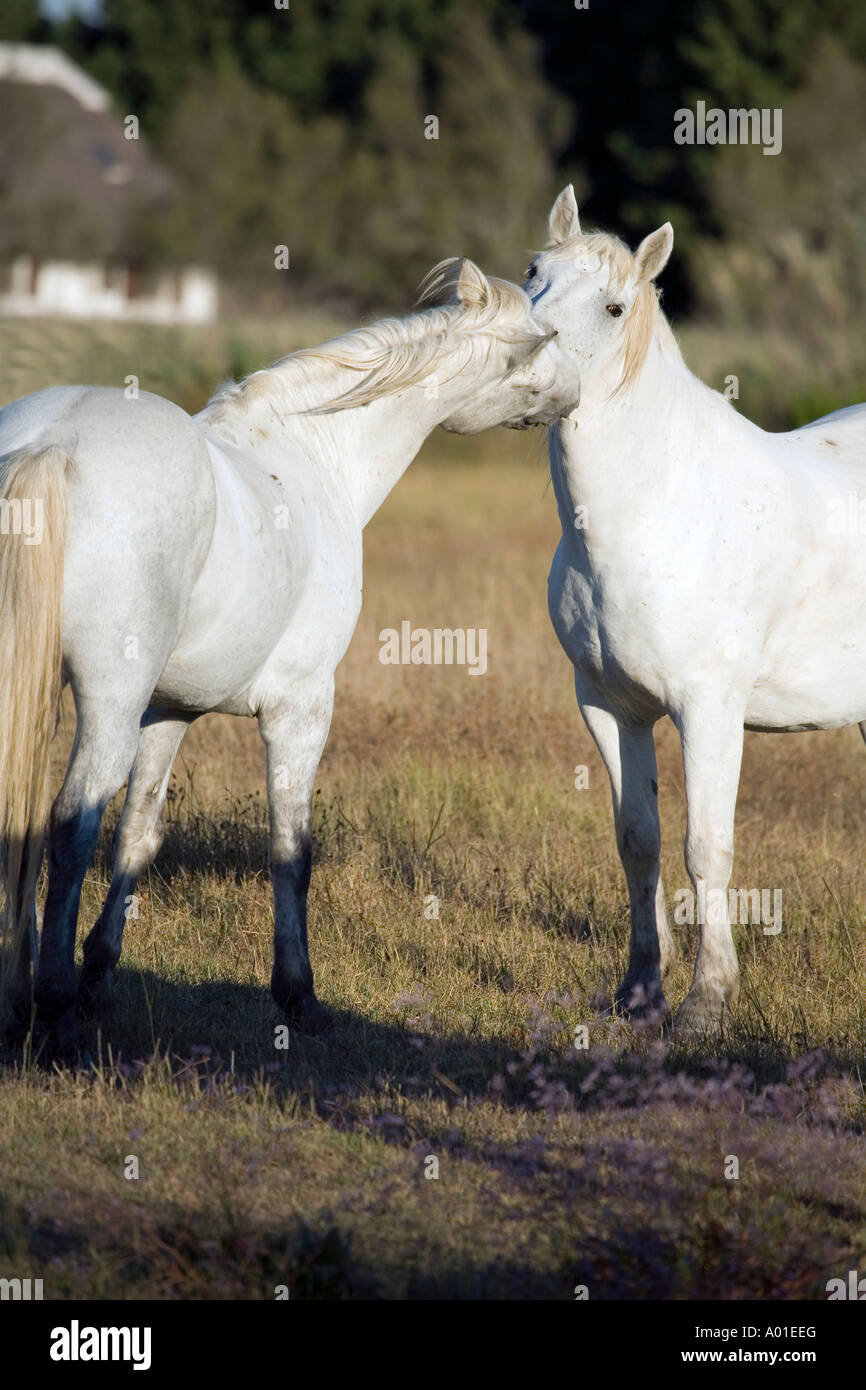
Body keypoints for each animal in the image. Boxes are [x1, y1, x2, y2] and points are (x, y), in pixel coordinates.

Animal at [0, 257, 581, 1061]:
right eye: (542, 336)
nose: (577, 390)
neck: (310, 460)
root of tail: (50, 445)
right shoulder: (300, 708)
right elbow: (290, 850)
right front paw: (298, 995)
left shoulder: (168, 709)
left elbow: (139, 835)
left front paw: (101, 975)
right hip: (108, 704)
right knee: (67, 827)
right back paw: (52, 1015)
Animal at [525, 185, 866, 1034]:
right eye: (534, 272)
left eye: (615, 307)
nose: (526, 357)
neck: (657, 510)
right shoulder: (610, 706)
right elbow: (637, 840)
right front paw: (641, 989)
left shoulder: (709, 711)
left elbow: (705, 846)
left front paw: (708, 1002)